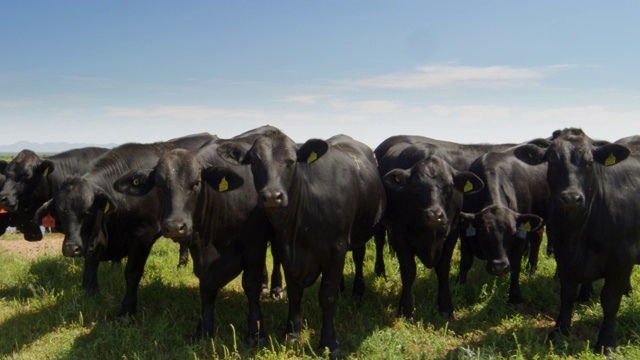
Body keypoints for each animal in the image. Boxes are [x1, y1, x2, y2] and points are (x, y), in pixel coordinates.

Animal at [35, 134, 215, 316]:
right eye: (59, 212)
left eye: (87, 211)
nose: (71, 248)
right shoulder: (93, 240)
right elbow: (90, 266)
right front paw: (90, 293)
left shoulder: (144, 235)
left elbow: (132, 272)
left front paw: (127, 309)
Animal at [113, 126, 282, 344]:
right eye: (159, 184)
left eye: (195, 183)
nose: (175, 226)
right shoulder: (199, 247)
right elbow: (207, 285)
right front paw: (204, 329)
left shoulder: (255, 241)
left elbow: (250, 284)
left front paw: (256, 332)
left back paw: (276, 289)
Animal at [372, 141, 482, 320]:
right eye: (416, 186)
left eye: (450, 186)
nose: (434, 215)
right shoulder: (399, 233)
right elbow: (408, 270)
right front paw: (405, 309)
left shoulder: (452, 232)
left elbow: (443, 268)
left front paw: (446, 307)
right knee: (379, 242)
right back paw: (380, 271)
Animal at [458, 148, 548, 306]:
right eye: (482, 232)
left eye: (512, 232)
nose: (499, 266)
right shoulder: (465, 233)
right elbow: (465, 261)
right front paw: (460, 289)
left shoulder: (519, 238)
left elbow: (515, 267)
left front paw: (515, 297)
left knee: (536, 239)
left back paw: (531, 269)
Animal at [512, 128, 640, 352]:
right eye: (552, 161)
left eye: (589, 162)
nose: (571, 198)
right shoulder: (563, 255)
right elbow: (567, 293)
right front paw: (559, 332)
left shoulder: (622, 258)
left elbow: (610, 299)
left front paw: (606, 342)